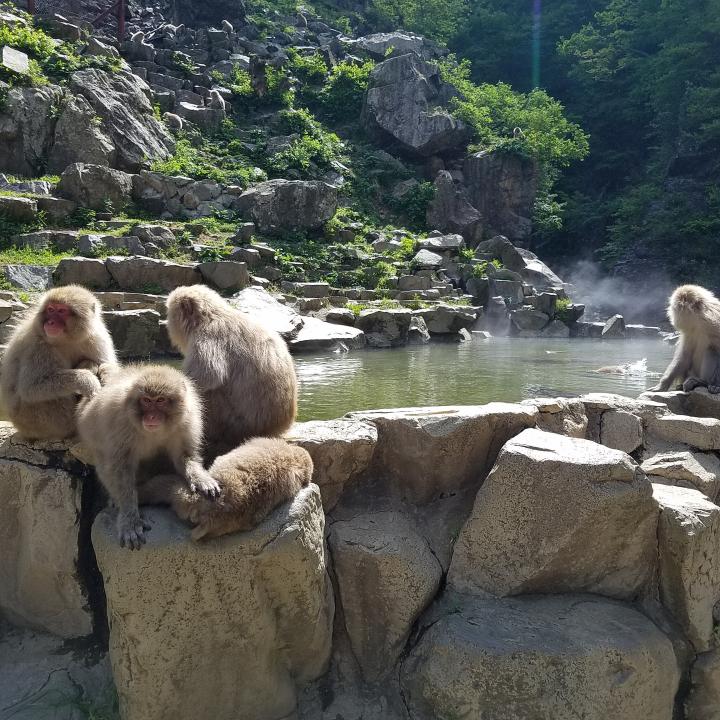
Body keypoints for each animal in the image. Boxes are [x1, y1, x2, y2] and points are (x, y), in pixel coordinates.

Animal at [0, 285, 117, 441]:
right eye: (50, 309)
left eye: (61, 311)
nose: (50, 322)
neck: (67, 339)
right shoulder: (38, 346)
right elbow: (30, 387)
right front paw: (86, 380)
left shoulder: (97, 337)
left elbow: (107, 364)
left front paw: (107, 376)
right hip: (33, 420)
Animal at [77, 364, 220, 549]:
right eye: (146, 400)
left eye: (160, 400)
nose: (151, 416)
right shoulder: (120, 423)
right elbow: (120, 470)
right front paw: (130, 519)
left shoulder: (186, 422)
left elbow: (185, 457)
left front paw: (201, 478)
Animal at [165, 285, 298, 461]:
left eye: (170, 314)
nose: (167, 324)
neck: (211, 316)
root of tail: (274, 429)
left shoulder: (208, 337)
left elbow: (207, 377)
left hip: (233, 424)